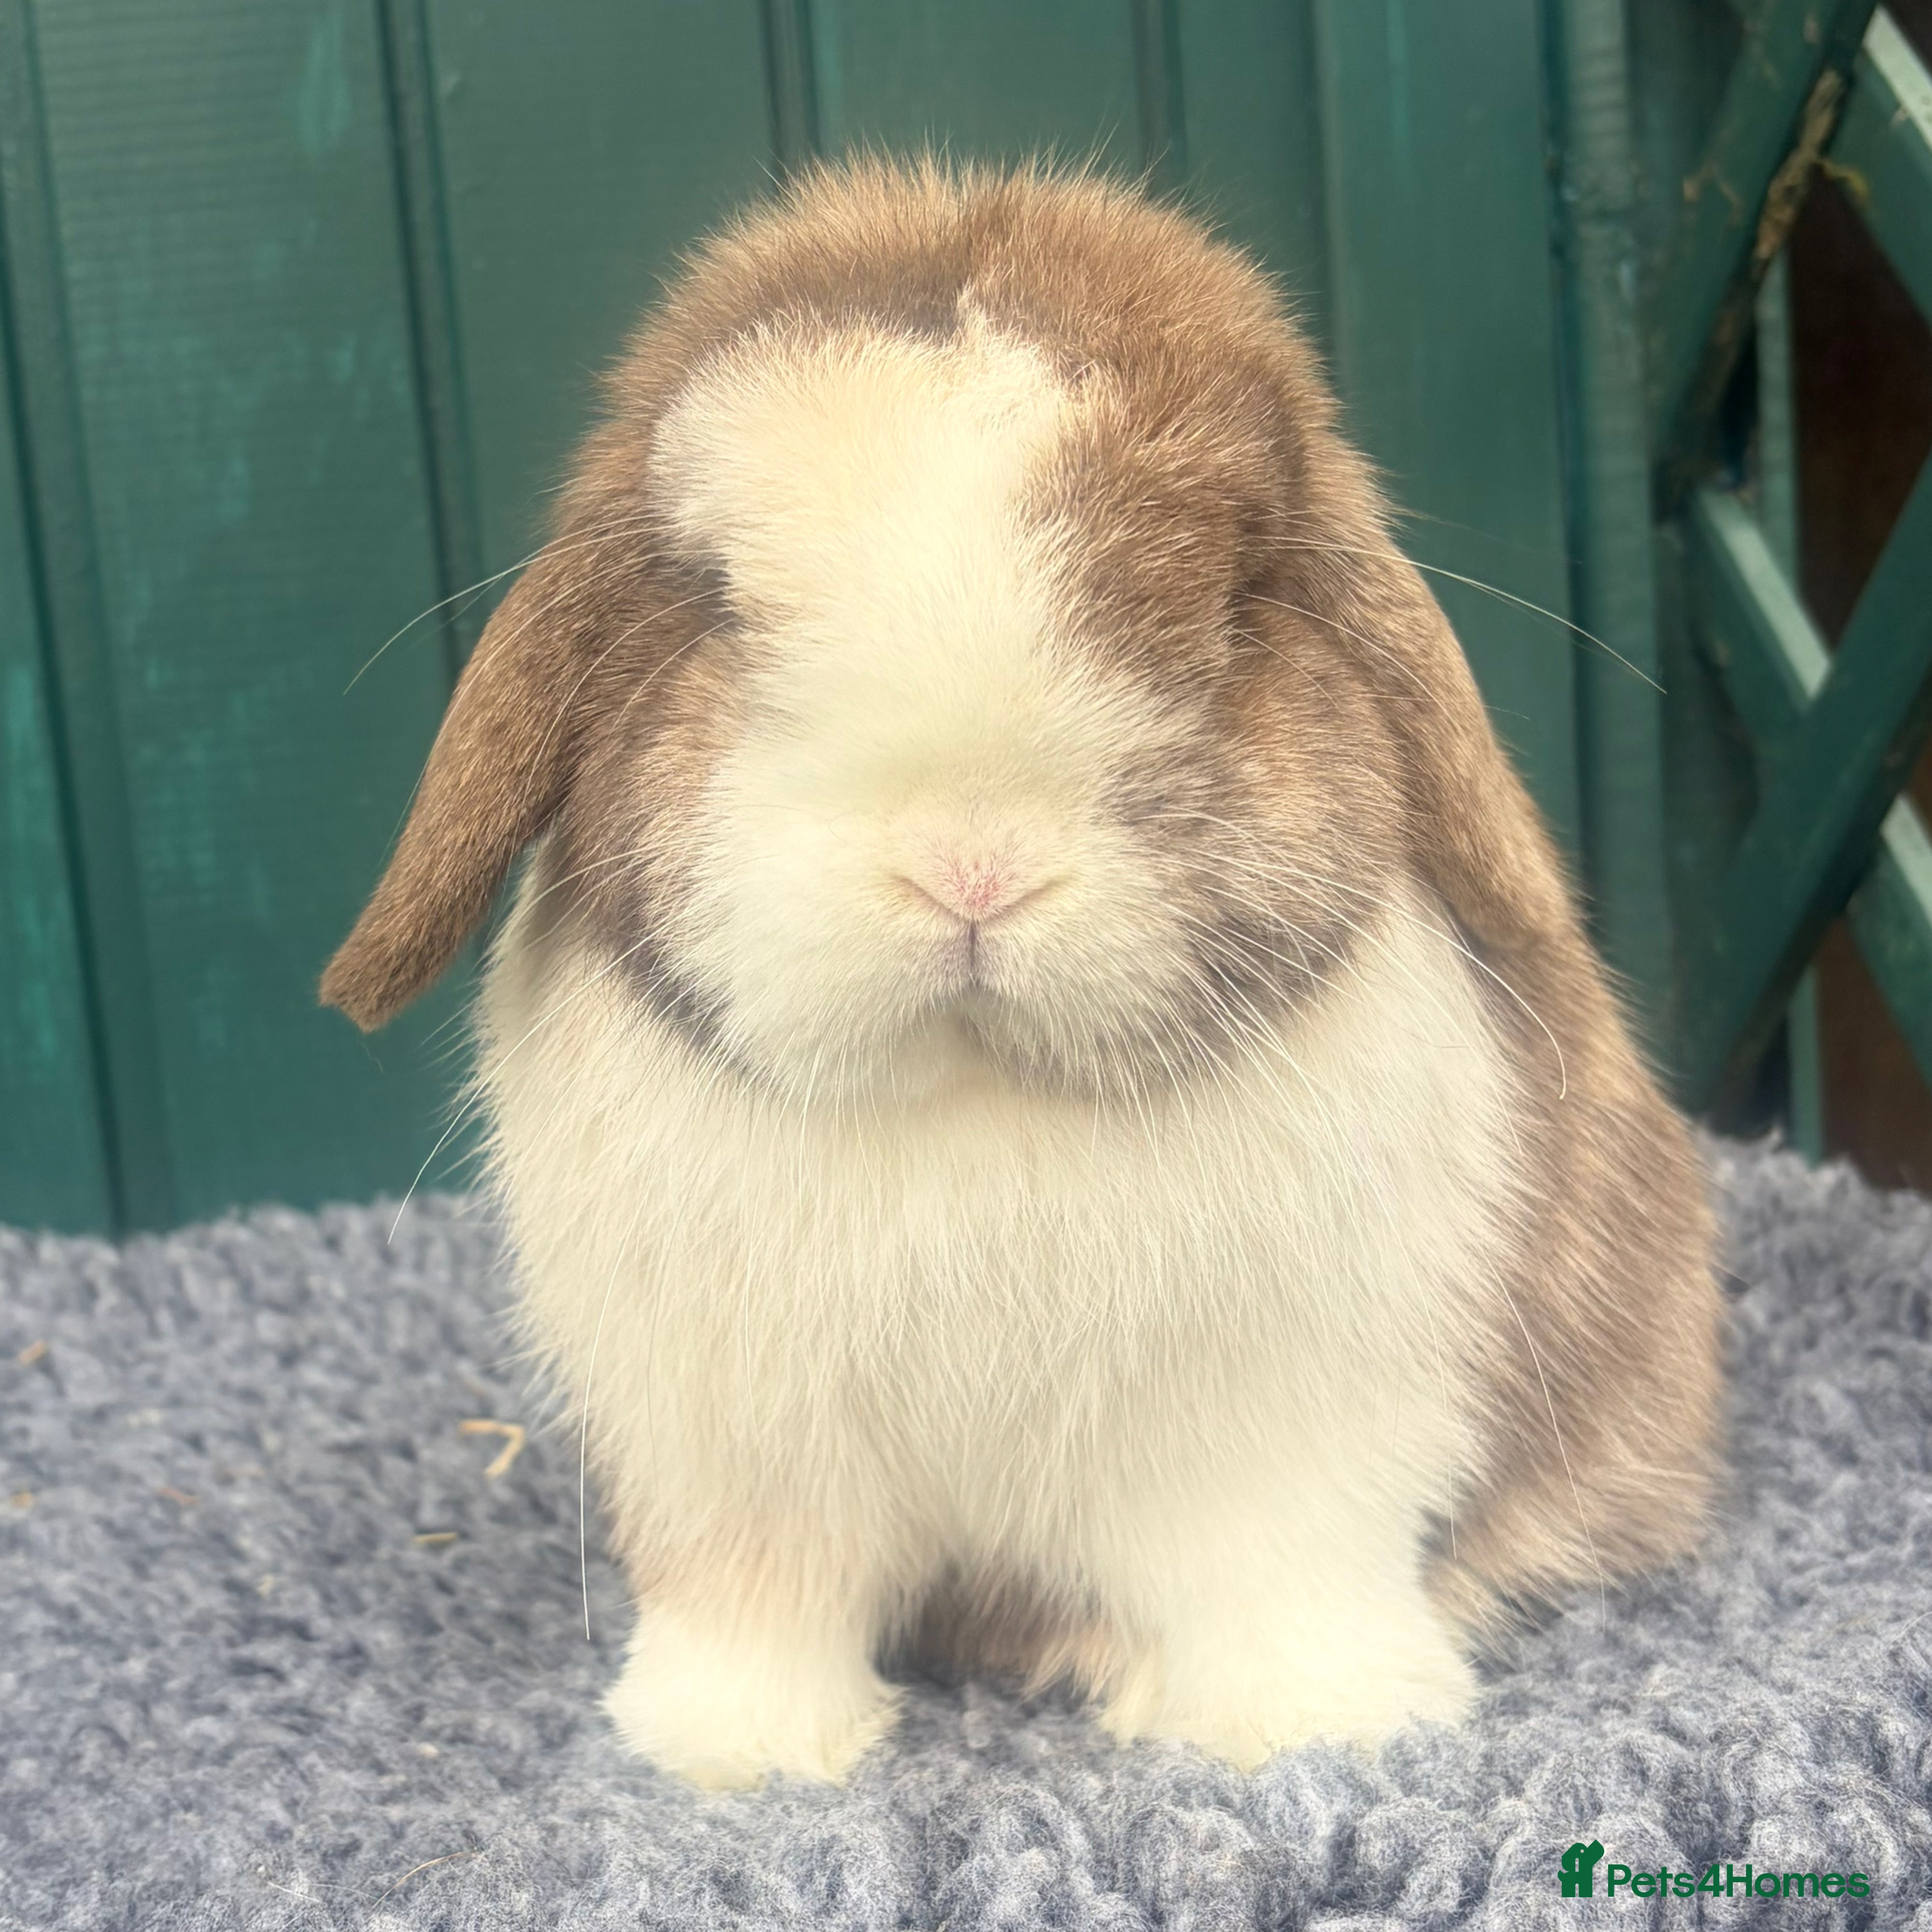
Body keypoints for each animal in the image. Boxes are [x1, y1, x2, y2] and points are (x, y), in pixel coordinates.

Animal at [322, 159, 1722, 1790]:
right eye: (719, 608)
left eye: (1230, 603)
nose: (970, 867)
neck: (978, 1106)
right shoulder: (731, 1466)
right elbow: (755, 1609)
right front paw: (735, 1754)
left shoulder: (1296, 1435)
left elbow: (1277, 1577)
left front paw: (1307, 1730)